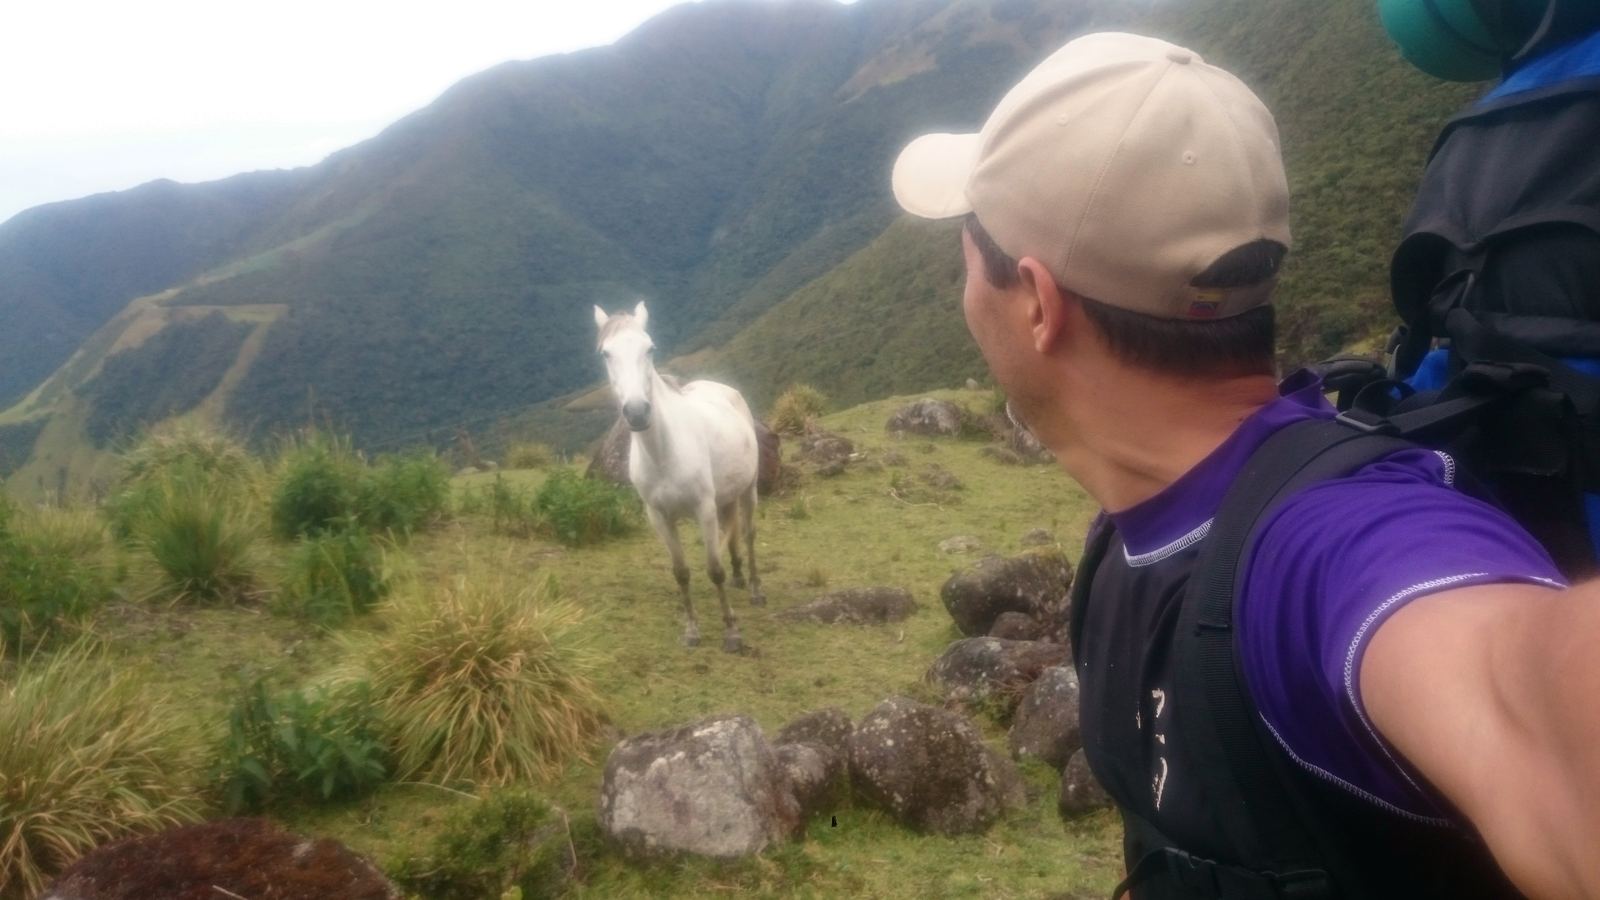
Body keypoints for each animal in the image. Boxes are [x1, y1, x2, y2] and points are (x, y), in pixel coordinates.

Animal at [593, 301, 765, 652]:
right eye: (606, 353)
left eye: (650, 348)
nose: (637, 412)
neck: (664, 452)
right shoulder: (658, 517)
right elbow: (681, 572)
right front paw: (692, 631)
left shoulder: (703, 509)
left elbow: (714, 570)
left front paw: (731, 632)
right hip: (726, 496)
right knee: (734, 534)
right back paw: (739, 576)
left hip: (749, 489)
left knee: (749, 533)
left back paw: (755, 589)